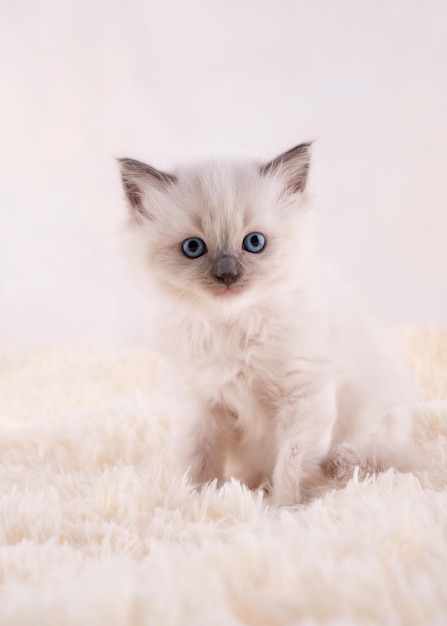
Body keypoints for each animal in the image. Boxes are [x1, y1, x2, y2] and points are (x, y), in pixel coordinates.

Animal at [118, 144, 416, 504]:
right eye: (193, 247)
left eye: (254, 243)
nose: (227, 276)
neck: (233, 326)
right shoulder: (200, 405)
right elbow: (198, 461)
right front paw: (197, 502)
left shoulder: (302, 395)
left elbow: (291, 464)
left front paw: (282, 509)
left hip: (379, 426)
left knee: (375, 456)